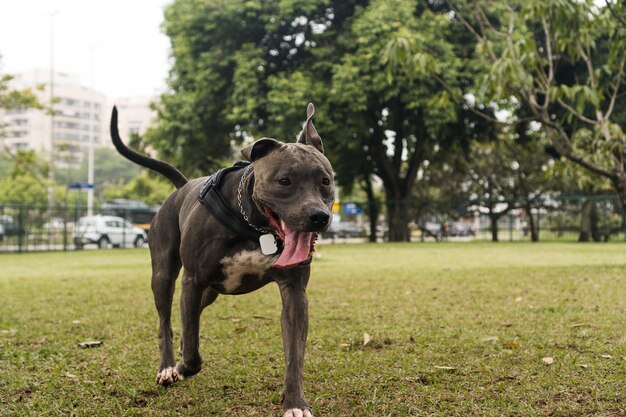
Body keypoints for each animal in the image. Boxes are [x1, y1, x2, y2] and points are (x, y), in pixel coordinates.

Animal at [109, 103, 334, 416]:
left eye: (325, 181)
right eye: (284, 181)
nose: (318, 216)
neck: (253, 225)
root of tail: (182, 187)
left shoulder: (294, 292)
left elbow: (294, 354)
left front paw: (295, 402)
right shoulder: (192, 281)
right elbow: (193, 353)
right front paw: (182, 367)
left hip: (212, 291)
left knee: (191, 317)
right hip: (164, 276)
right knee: (166, 321)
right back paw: (168, 366)